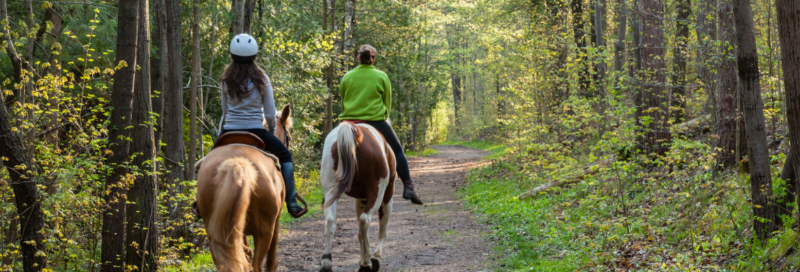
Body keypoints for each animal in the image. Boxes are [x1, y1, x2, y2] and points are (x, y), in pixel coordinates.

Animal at [195, 104, 296, 272]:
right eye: (288, 135)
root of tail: (236, 162)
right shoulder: (275, 222)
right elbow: (271, 259)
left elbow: (246, 253)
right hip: (264, 232)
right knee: (256, 265)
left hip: (214, 231)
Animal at [318, 121, 394, 272]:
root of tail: (352, 130)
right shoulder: (387, 194)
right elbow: (382, 228)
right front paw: (375, 257)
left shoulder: (360, 199)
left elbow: (360, 232)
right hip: (377, 192)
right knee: (365, 220)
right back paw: (367, 262)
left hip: (330, 191)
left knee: (330, 222)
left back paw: (327, 263)